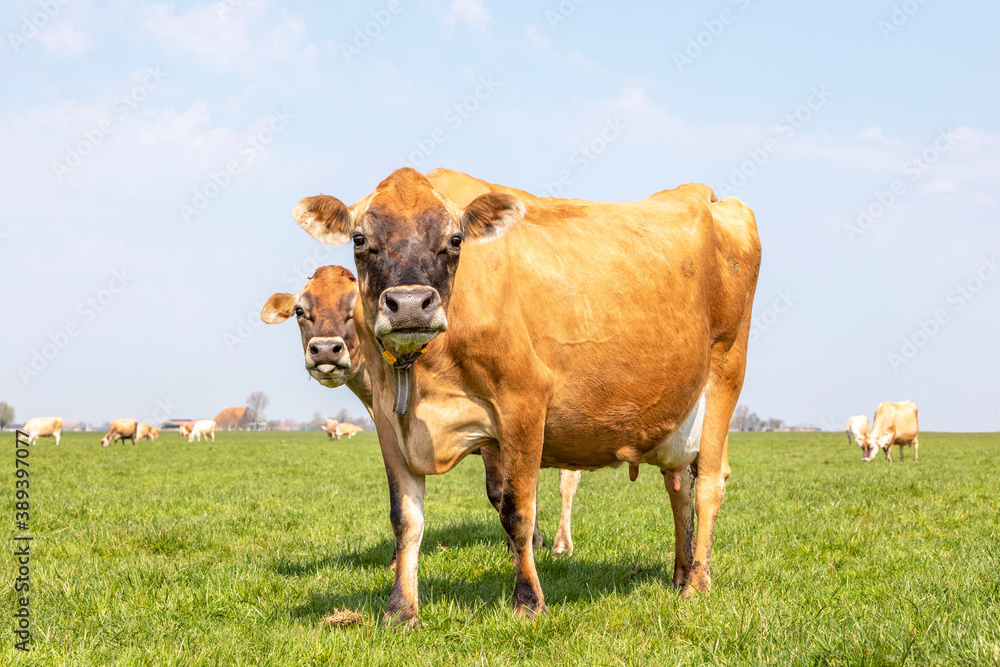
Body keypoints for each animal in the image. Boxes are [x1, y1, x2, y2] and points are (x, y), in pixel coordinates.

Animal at [261, 265, 577, 556]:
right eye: (300, 310)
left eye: (354, 308)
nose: (326, 349)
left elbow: (500, 491)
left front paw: (521, 548)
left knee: (567, 482)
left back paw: (561, 544)